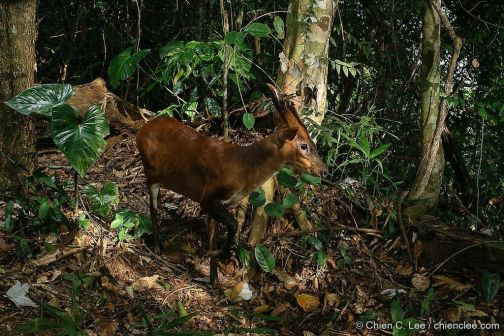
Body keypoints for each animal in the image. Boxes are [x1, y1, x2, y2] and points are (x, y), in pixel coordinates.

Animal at [137, 84, 326, 284]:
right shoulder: (208, 197)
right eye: (304, 146)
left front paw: (213, 279)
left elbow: (213, 235)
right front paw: (219, 255)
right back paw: (157, 246)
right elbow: (234, 225)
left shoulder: (218, 203)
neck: (243, 166)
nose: (324, 171)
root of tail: (143, 128)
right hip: (150, 171)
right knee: (152, 206)